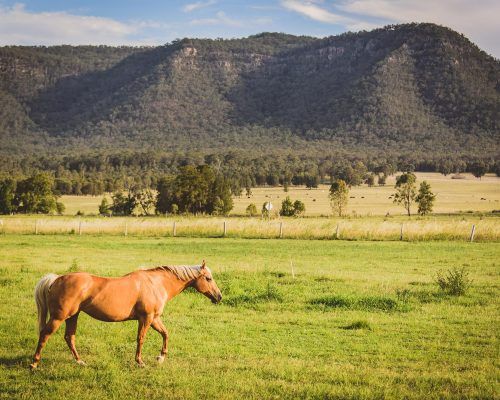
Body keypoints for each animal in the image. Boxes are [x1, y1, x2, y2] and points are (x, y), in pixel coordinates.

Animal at [28, 260, 221, 370]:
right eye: (208, 278)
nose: (219, 296)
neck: (155, 283)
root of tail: (57, 279)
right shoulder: (146, 318)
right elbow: (141, 339)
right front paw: (140, 362)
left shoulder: (154, 319)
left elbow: (165, 334)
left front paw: (160, 357)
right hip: (59, 317)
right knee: (44, 335)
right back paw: (34, 363)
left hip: (72, 316)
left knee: (69, 337)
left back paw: (80, 361)